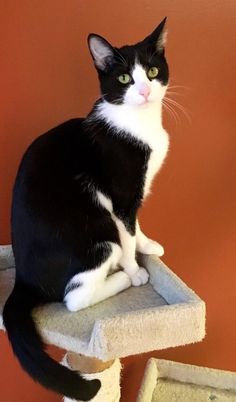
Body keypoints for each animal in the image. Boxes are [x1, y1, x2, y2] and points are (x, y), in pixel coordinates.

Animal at [3, 18, 170, 402]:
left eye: (152, 72)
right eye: (123, 78)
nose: (143, 91)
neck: (136, 124)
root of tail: (23, 277)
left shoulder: (134, 196)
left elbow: (137, 225)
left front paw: (149, 245)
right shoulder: (118, 196)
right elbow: (127, 232)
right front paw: (136, 269)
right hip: (96, 239)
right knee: (74, 298)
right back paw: (121, 277)